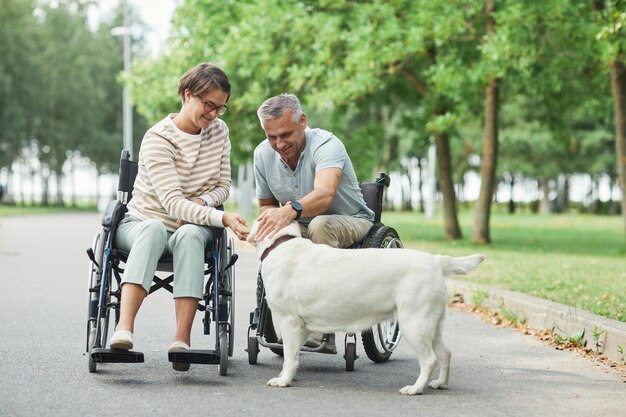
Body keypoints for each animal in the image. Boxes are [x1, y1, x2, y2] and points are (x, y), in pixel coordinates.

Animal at [245, 219, 482, 394]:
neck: (281, 244)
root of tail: (435, 260)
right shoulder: (301, 327)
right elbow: (293, 356)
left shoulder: (290, 323)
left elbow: (289, 356)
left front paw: (283, 380)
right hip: (432, 324)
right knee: (445, 353)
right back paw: (441, 383)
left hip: (413, 324)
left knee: (430, 360)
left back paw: (415, 388)